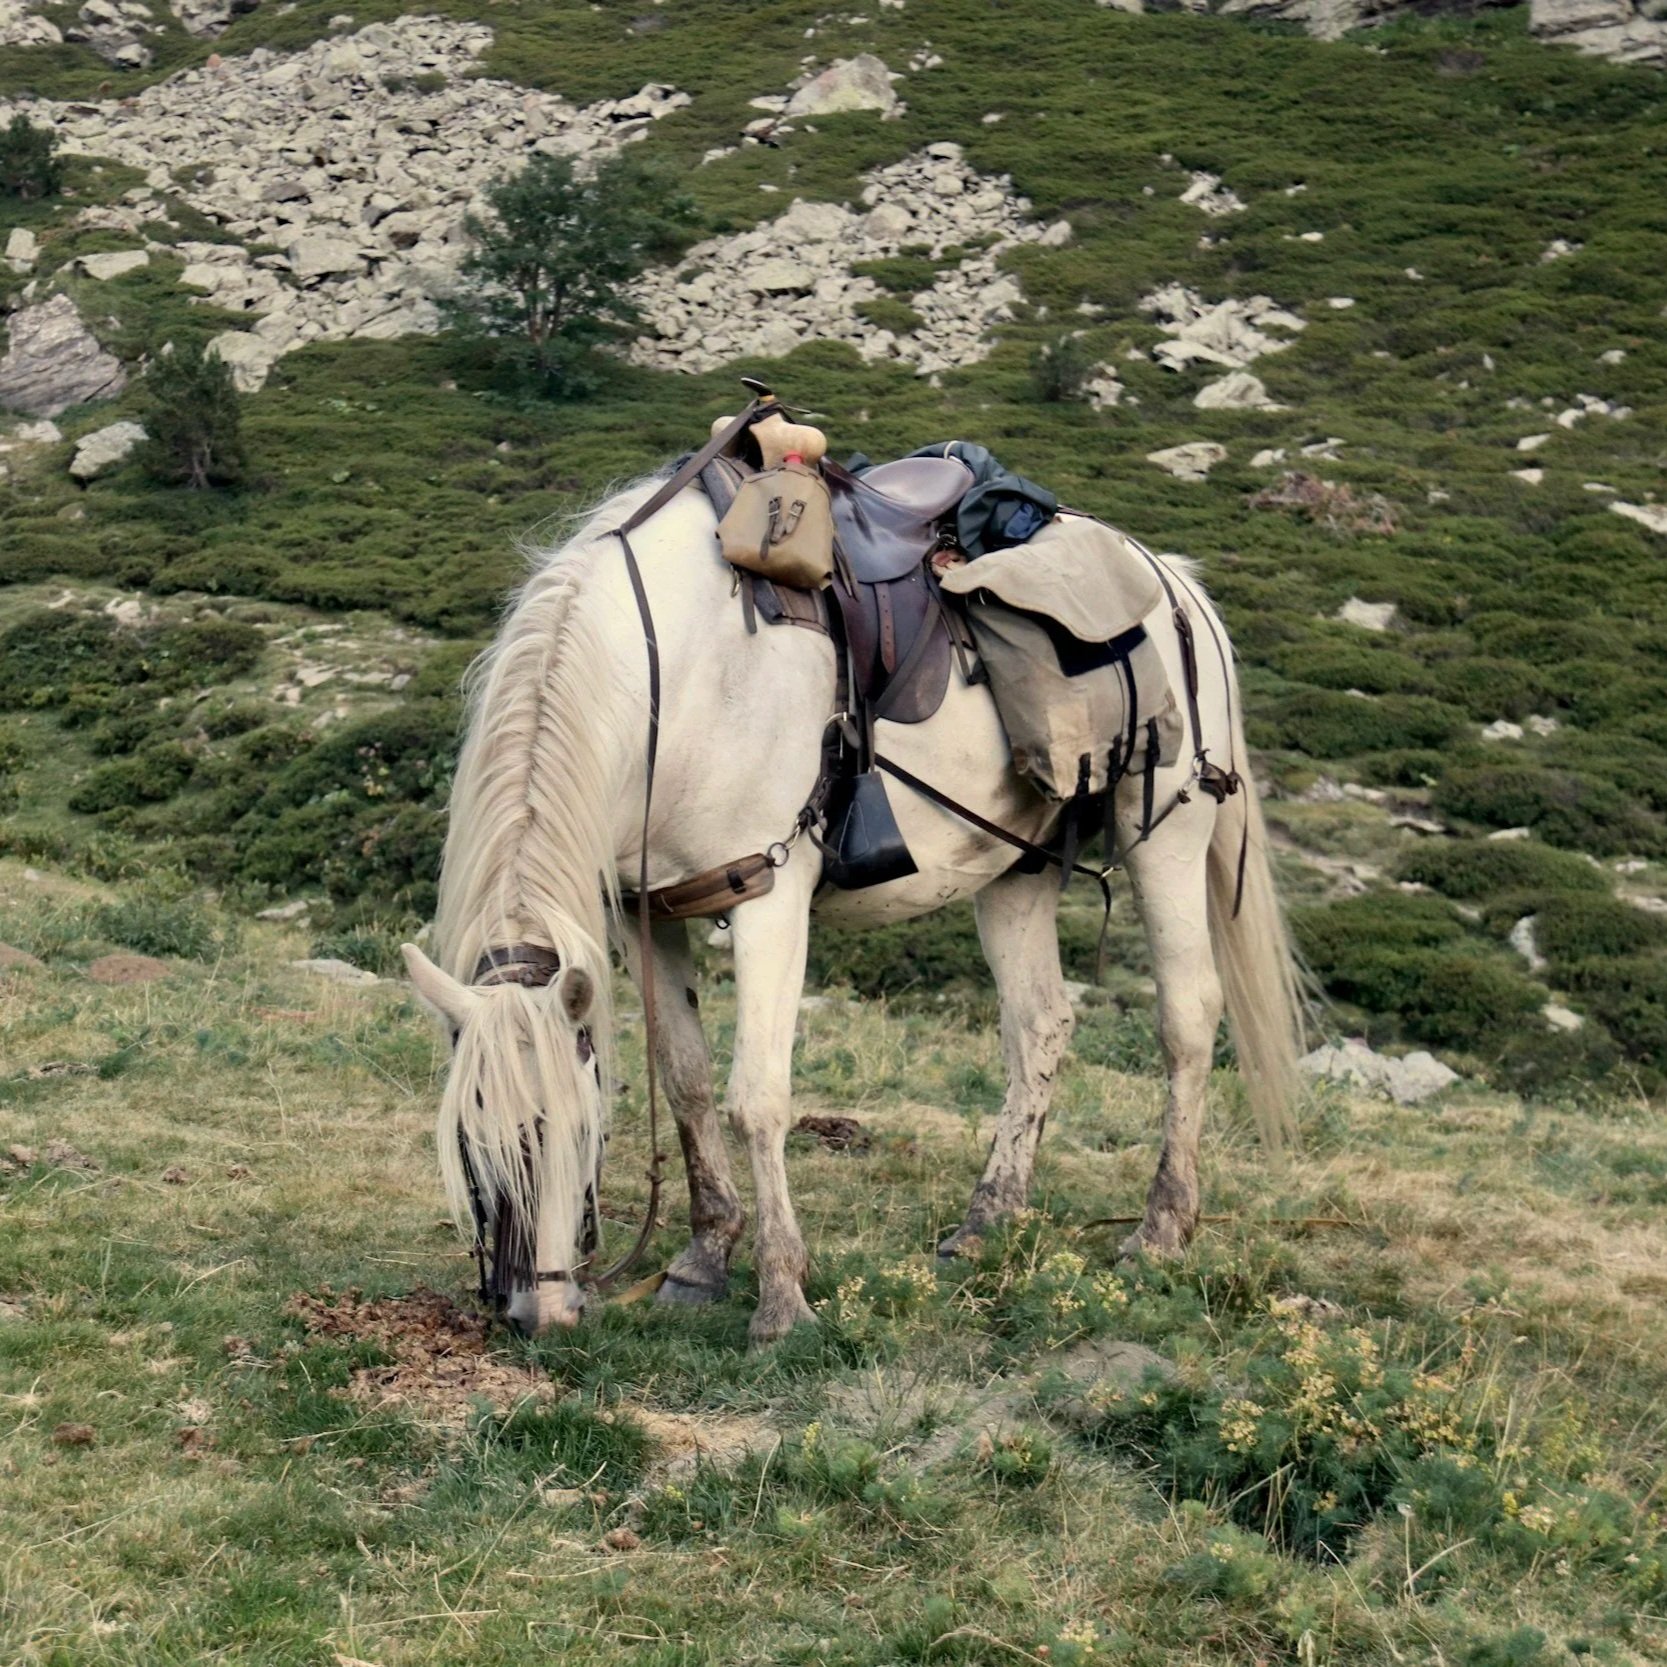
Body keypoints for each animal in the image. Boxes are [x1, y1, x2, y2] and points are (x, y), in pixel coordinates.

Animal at [401, 466, 1304, 1343]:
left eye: (577, 1127)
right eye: (469, 1138)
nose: (537, 1313)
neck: (673, 677)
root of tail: (1173, 582)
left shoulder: (765, 893)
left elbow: (756, 1097)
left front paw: (780, 1299)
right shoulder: (647, 911)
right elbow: (687, 1080)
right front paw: (703, 1256)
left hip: (1169, 832)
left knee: (1186, 1016)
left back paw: (1159, 1229)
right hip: (1018, 866)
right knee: (1038, 1025)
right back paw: (987, 1220)